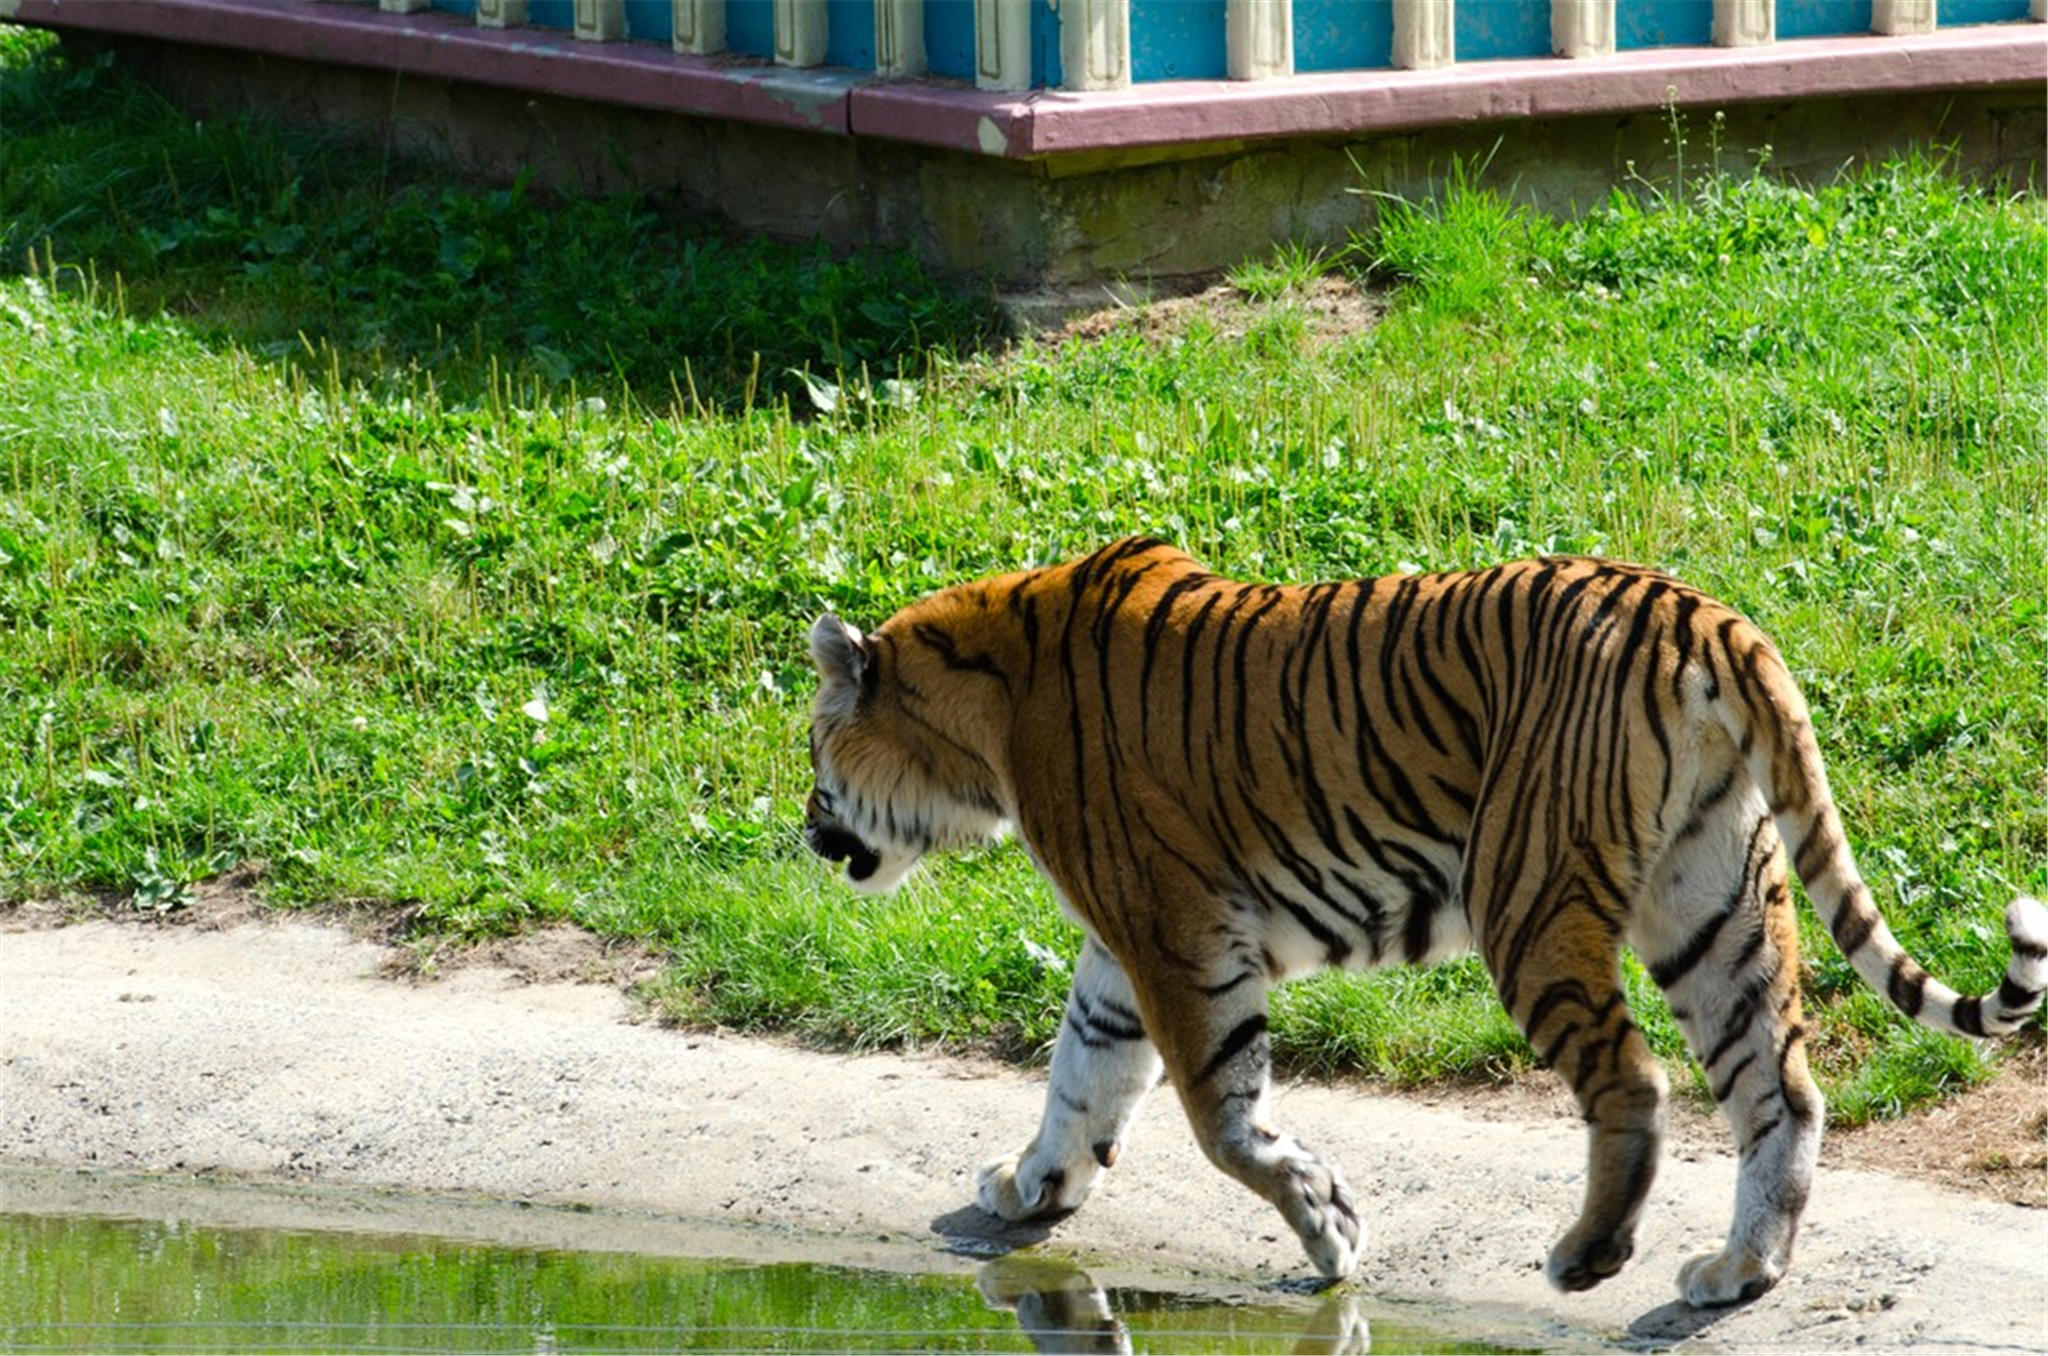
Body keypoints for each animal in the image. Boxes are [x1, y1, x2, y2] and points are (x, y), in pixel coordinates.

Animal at [802, 536, 2048, 1310]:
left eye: (813, 748)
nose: (810, 833)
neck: (981, 718)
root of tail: (1694, 610)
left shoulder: (1173, 933)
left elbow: (1216, 1116)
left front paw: (1326, 1226)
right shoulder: (1124, 946)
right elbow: (1080, 1075)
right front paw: (1031, 1189)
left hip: (1525, 894)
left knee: (1631, 1082)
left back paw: (1587, 1256)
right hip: (1711, 897)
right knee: (1779, 1090)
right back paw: (1740, 1269)